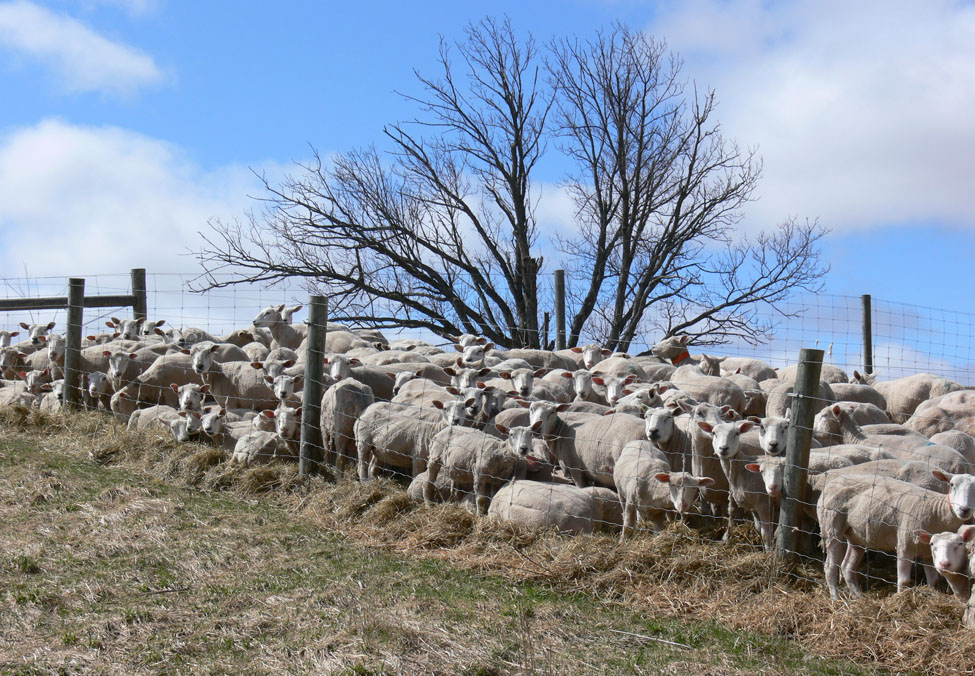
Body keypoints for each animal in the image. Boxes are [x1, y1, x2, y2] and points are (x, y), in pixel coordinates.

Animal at [816, 470, 975, 596]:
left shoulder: (929, 553)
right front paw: (900, 599)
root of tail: (831, 483)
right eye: (952, 484)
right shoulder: (905, 545)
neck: (937, 511)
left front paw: (933, 595)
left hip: (856, 536)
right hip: (832, 528)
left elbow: (934, 581)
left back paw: (858, 597)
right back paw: (835, 598)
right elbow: (904, 581)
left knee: (847, 566)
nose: (964, 509)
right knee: (830, 567)